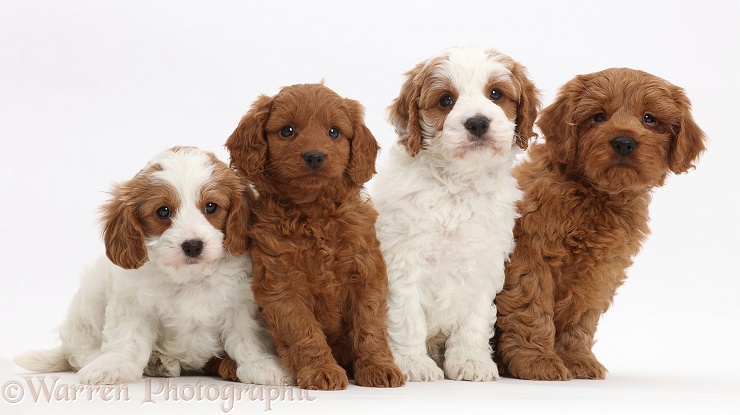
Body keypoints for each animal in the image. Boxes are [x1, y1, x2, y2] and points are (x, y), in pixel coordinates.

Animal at [16, 147, 290, 386]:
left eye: (211, 207)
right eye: (163, 211)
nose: (193, 245)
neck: (188, 277)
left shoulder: (241, 304)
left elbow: (248, 337)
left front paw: (261, 365)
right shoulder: (133, 304)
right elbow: (126, 338)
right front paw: (112, 365)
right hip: (90, 300)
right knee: (81, 349)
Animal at [220, 83, 404, 390]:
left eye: (334, 132)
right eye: (287, 130)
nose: (315, 156)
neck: (314, 212)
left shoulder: (365, 273)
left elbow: (370, 325)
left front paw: (380, 367)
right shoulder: (281, 284)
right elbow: (302, 330)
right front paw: (321, 370)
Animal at [372, 46, 540, 384]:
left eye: (496, 94)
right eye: (446, 100)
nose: (477, 123)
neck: (458, 186)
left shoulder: (484, 263)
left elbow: (474, 320)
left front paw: (471, 361)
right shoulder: (403, 262)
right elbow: (407, 317)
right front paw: (413, 364)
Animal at [494, 67, 708, 380]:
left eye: (649, 118)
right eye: (598, 116)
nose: (624, 142)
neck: (596, 196)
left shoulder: (599, 273)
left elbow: (580, 319)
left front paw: (576, 358)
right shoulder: (530, 258)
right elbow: (531, 310)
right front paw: (537, 361)